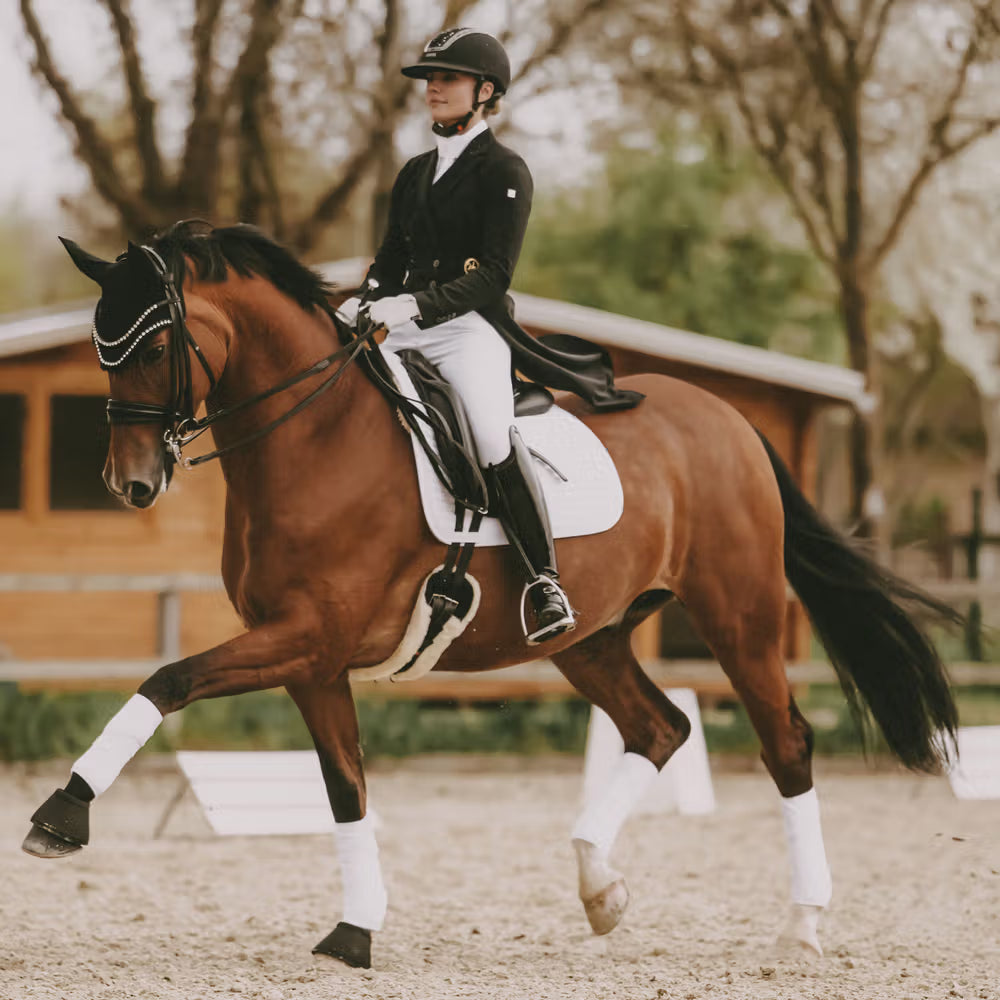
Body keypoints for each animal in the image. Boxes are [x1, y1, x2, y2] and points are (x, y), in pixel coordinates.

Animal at [24, 220, 959, 970]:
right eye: (102, 349)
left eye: (151, 349)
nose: (129, 485)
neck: (315, 437)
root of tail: (730, 419)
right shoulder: (313, 660)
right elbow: (344, 786)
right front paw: (356, 933)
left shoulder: (305, 636)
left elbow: (166, 680)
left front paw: (61, 817)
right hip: (592, 639)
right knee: (661, 727)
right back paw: (600, 889)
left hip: (741, 617)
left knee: (785, 744)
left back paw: (800, 926)